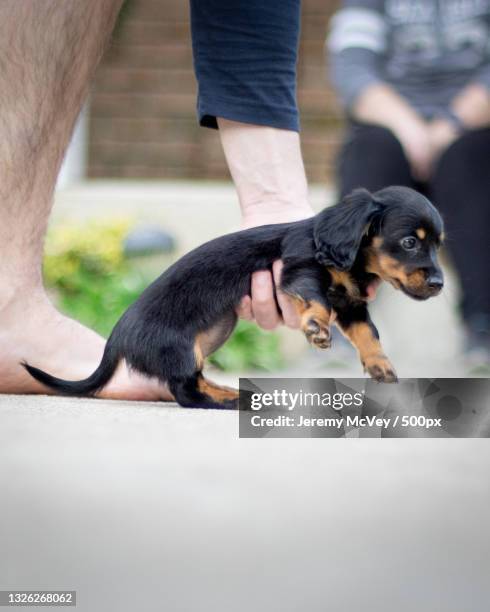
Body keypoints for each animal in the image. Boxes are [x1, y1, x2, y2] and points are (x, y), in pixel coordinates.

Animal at [23, 184, 444, 408]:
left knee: (191, 382)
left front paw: (380, 366)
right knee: (185, 390)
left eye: (438, 245)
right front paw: (315, 327)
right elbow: (317, 300)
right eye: (409, 242)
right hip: (181, 346)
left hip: (208, 338)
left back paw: (229, 391)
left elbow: (368, 334)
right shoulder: (298, 269)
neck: (351, 257)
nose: (440, 284)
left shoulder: (352, 303)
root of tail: (117, 336)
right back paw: (231, 399)